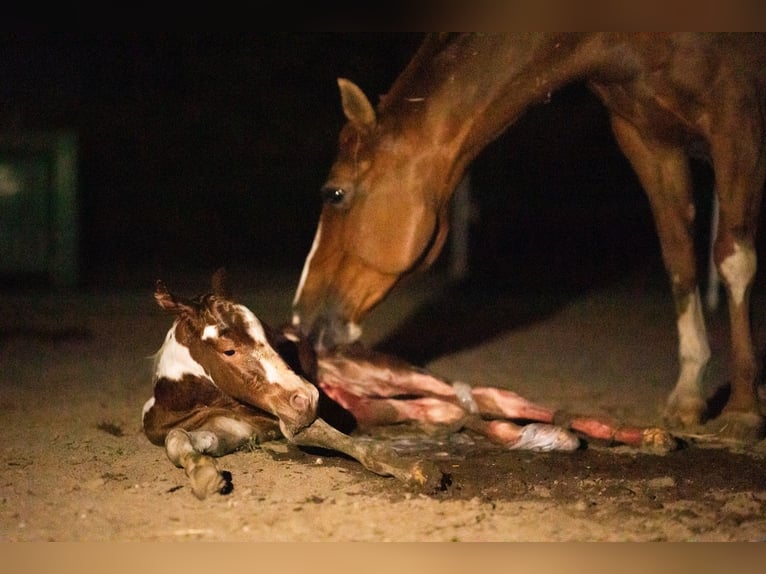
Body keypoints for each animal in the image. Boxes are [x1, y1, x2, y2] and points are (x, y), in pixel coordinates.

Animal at [291, 33, 766, 443]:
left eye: (334, 193)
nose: (298, 318)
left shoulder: (737, 121)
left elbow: (733, 259)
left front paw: (743, 408)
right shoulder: (648, 138)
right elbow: (680, 258)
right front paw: (688, 395)